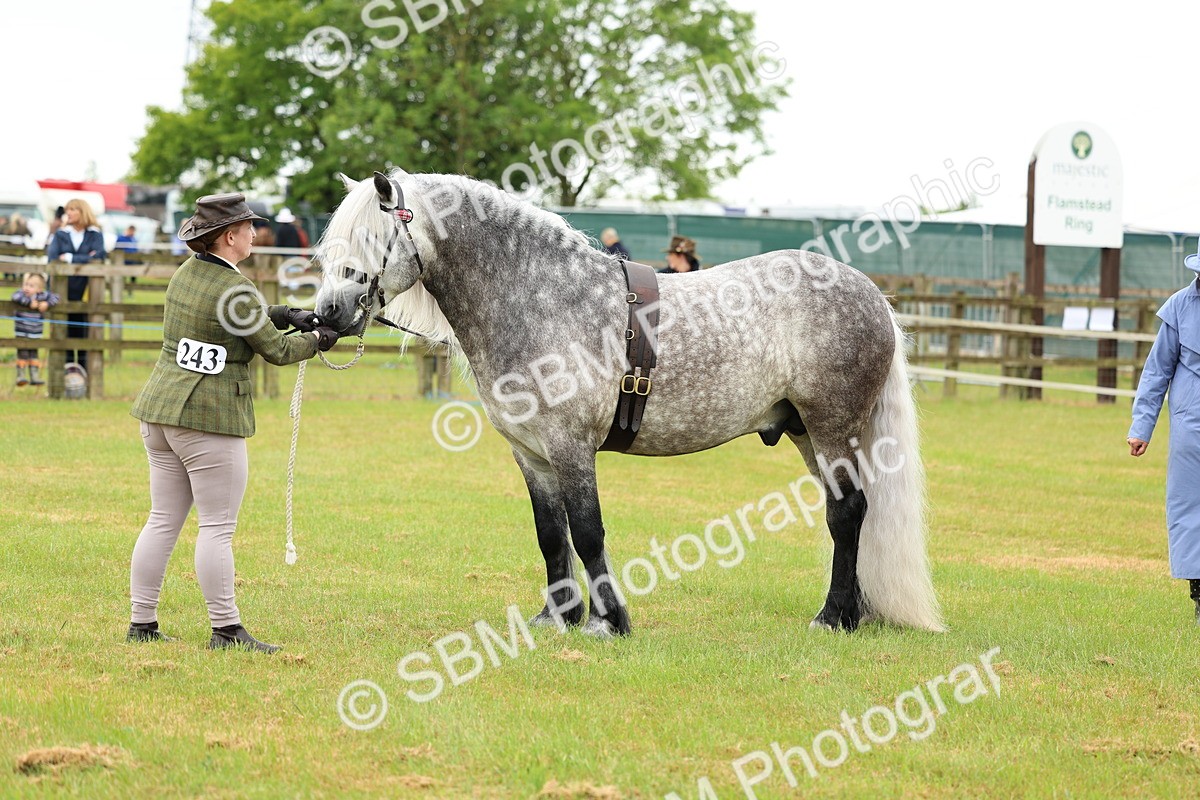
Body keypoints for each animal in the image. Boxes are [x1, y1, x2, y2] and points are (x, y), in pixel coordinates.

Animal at [313, 169, 944, 638]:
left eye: (370, 238)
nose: (328, 314)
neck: (542, 296)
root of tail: (869, 293)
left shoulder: (570, 446)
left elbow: (588, 531)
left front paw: (608, 622)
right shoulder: (532, 455)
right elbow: (551, 534)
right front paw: (557, 618)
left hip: (833, 426)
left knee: (848, 513)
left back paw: (833, 618)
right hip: (808, 434)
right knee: (851, 512)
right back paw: (855, 613)